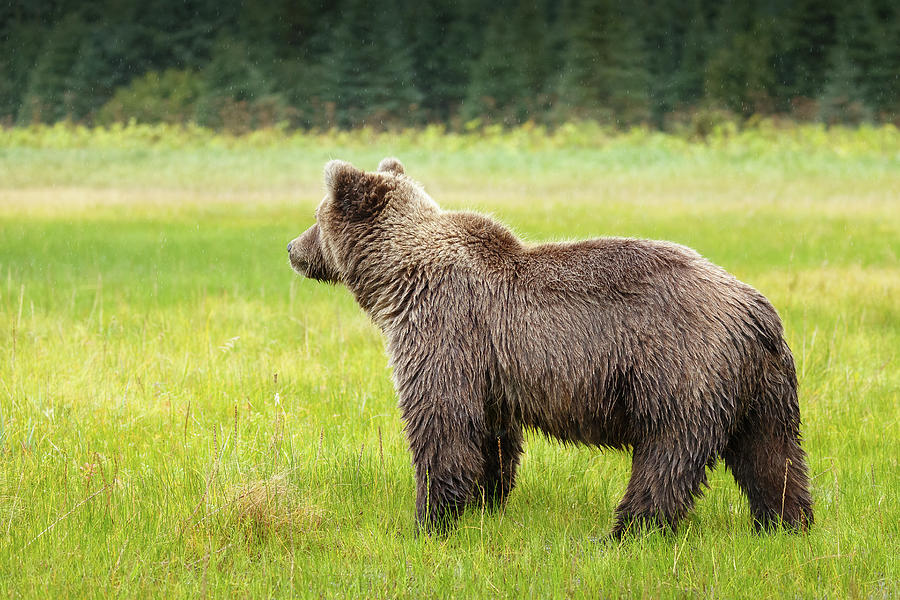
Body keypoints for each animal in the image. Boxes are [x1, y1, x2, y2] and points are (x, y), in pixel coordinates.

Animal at [288, 157, 816, 536]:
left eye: (316, 216)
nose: (293, 249)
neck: (398, 282)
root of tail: (754, 309)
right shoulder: (490, 368)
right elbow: (492, 436)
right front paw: (485, 501)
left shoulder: (445, 332)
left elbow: (442, 422)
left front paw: (429, 519)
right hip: (763, 385)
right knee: (772, 455)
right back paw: (785, 523)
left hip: (681, 368)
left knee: (668, 454)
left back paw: (629, 529)